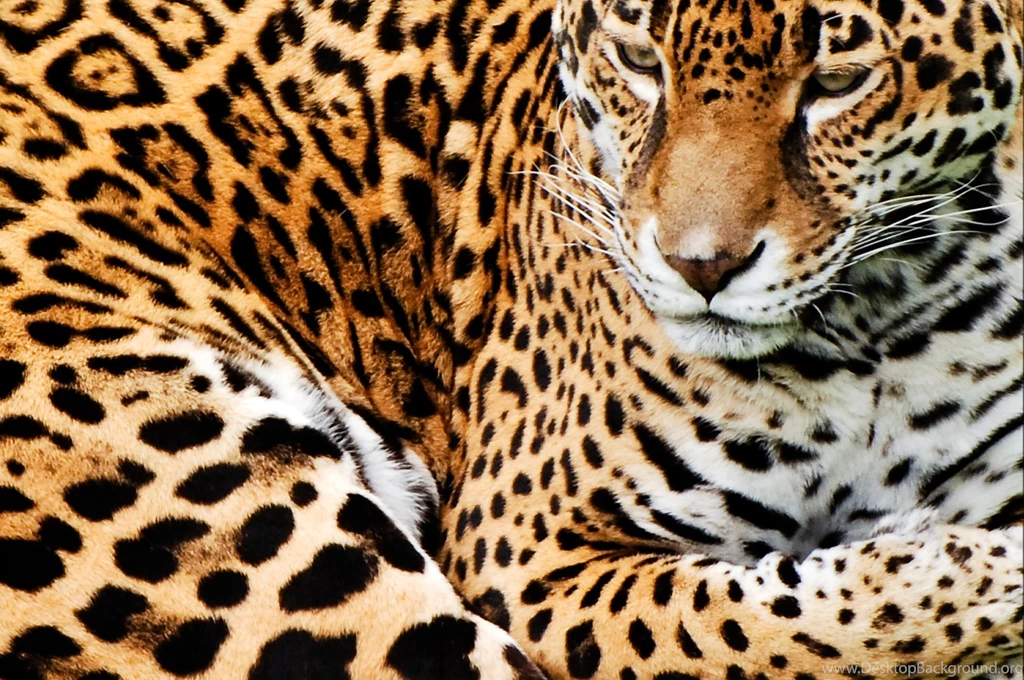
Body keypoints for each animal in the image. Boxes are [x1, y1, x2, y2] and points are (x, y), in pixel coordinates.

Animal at [0, 0, 1021, 673]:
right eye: (638, 60)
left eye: (839, 82)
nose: (699, 266)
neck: (882, 327)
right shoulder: (530, 552)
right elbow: (773, 629)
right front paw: (972, 565)